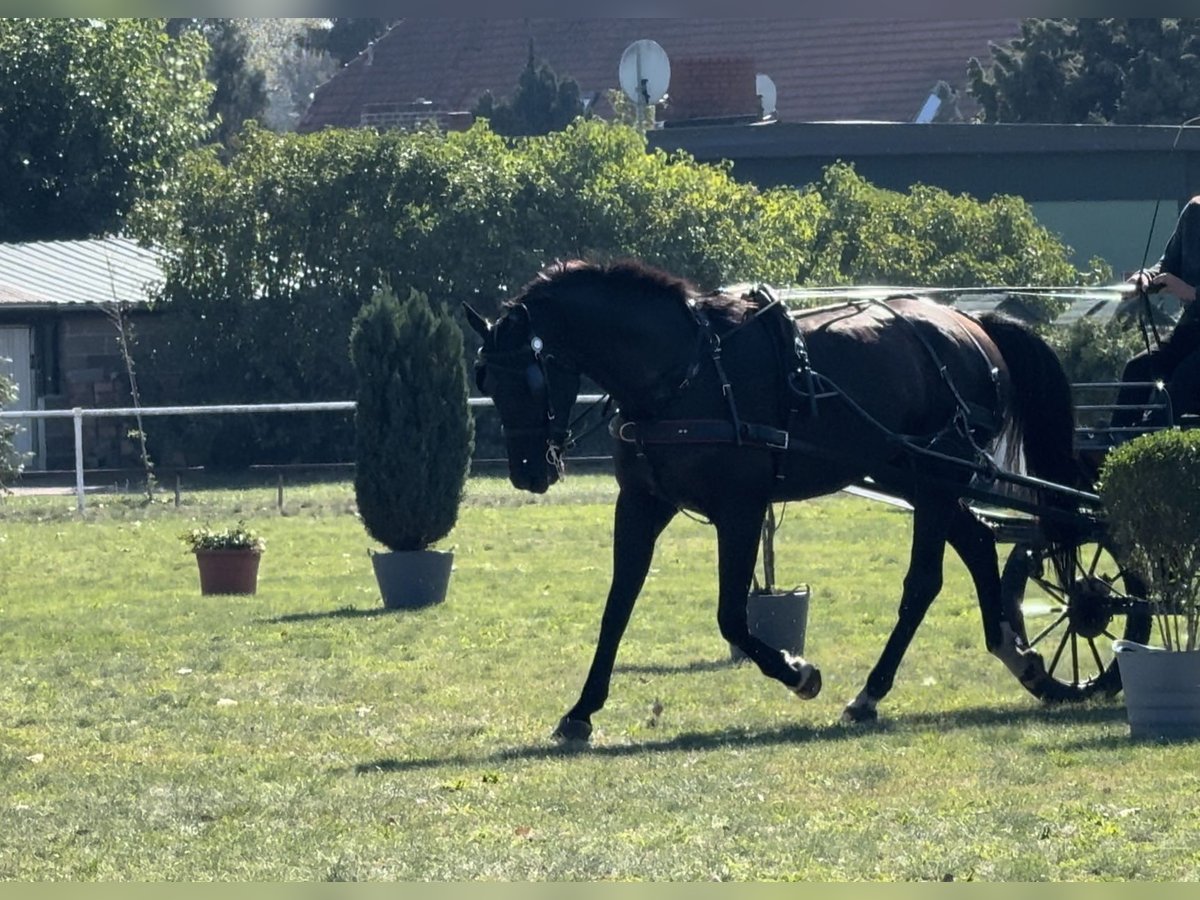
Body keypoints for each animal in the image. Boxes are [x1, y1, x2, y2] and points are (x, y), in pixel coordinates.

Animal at [465, 256, 1080, 744]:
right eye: (485, 378)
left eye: (530, 378)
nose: (528, 473)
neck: (687, 373)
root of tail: (971, 326)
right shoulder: (641, 503)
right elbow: (617, 606)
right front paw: (581, 711)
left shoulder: (740, 509)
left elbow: (731, 616)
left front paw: (798, 672)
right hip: (913, 475)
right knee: (977, 543)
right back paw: (1017, 657)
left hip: (935, 475)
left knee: (924, 581)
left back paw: (871, 692)